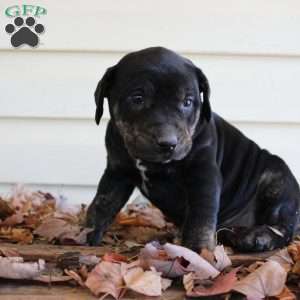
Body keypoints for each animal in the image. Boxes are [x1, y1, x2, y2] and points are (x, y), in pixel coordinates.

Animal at [85, 47, 300, 252]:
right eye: (137, 98)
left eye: (187, 102)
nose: (168, 142)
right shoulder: (117, 172)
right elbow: (101, 203)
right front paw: (85, 235)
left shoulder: (203, 174)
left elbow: (201, 215)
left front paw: (198, 249)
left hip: (277, 181)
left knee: (283, 225)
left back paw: (258, 237)